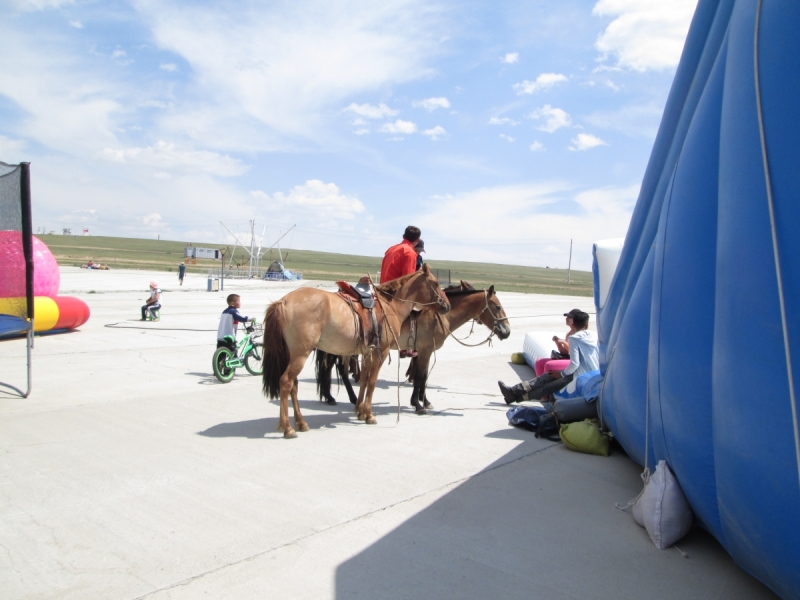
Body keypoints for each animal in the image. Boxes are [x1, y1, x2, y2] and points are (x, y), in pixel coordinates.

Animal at [262, 264, 450, 438]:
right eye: (435, 283)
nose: (447, 305)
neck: (390, 305)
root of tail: (283, 302)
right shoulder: (381, 351)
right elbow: (372, 382)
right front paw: (369, 414)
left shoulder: (367, 352)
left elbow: (364, 379)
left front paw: (360, 411)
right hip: (301, 354)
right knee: (286, 382)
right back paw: (288, 428)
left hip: (292, 355)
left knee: (294, 385)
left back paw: (301, 422)